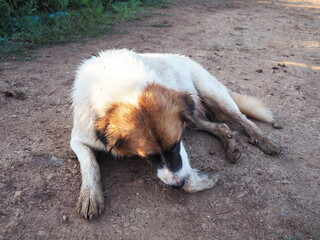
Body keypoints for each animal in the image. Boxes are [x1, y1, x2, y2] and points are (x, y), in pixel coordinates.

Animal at [69, 49, 280, 219]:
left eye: (176, 145)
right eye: (150, 156)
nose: (177, 185)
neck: (122, 85)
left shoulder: (178, 142)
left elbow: (186, 176)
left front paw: (203, 179)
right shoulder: (78, 139)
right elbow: (90, 164)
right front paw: (90, 196)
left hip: (212, 95)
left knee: (242, 119)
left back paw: (264, 141)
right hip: (192, 114)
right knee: (220, 125)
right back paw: (231, 143)